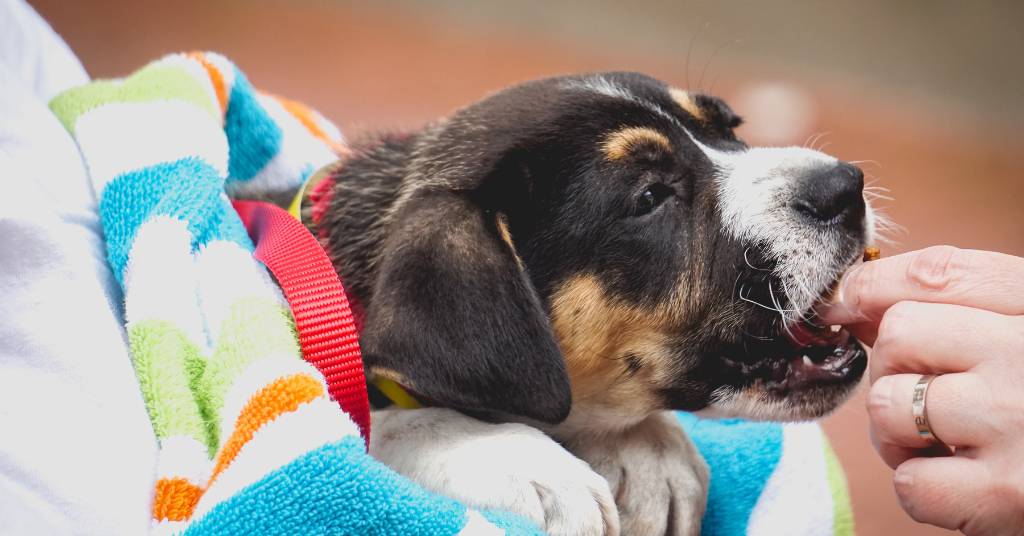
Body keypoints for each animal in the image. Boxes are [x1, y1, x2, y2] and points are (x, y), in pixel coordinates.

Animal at [307, 72, 876, 536]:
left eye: (729, 128)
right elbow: (366, 422)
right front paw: (515, 459)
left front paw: (650, 454)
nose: (845, 187)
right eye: (649, 197)